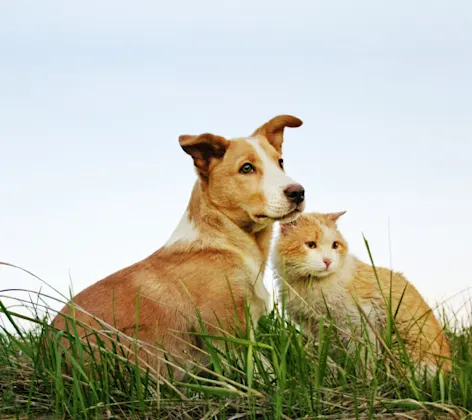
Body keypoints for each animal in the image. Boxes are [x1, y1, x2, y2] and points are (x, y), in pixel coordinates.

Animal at [274, 212, 452, 376]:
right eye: (310, 245)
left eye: (335, 245)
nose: (328, 261)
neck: (310, 284)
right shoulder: (319, 328)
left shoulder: (362, 320)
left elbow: (365, 359)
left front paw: (365, 381)